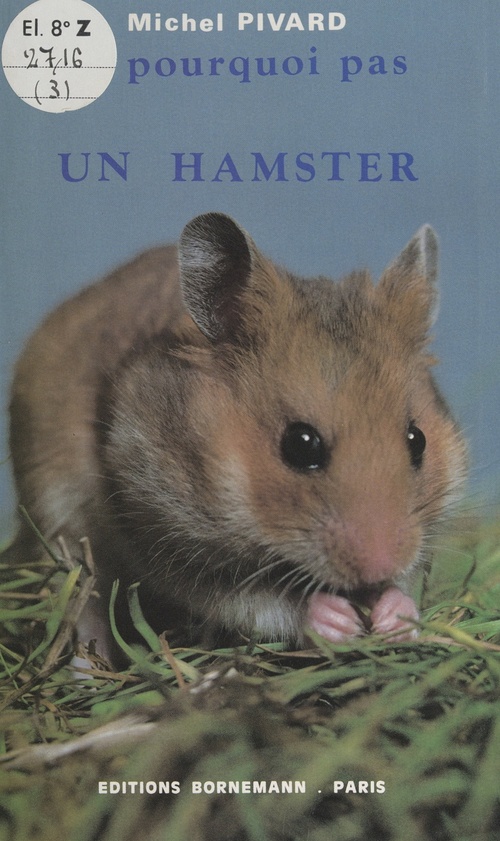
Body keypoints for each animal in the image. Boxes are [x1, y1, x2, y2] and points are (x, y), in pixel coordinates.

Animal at [5, 212, 467, 661]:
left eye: (417, 440)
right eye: (301, 444)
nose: (381, 565)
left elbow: (404, 587)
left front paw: (393, 616)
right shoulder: (164, 536)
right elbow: (254, 599)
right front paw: (337, 619)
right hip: (58, 525)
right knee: (83, 607)